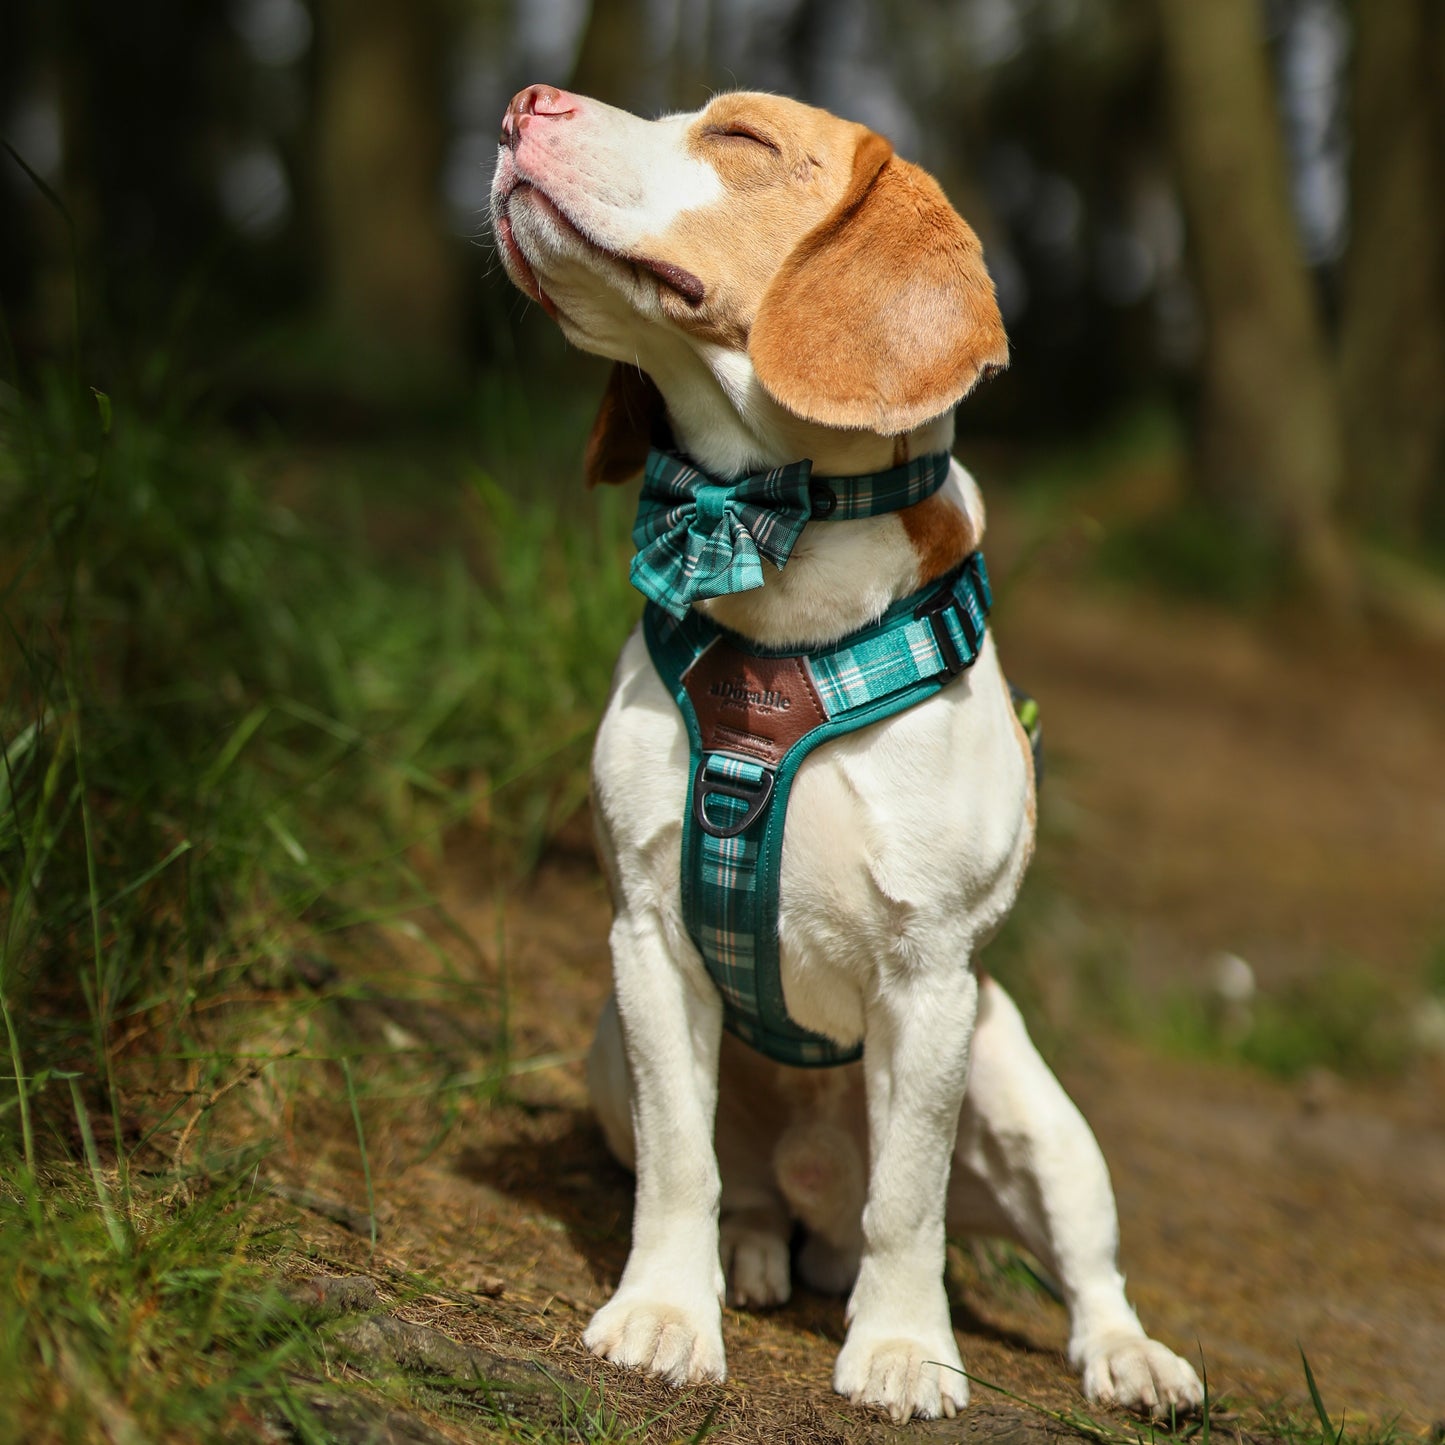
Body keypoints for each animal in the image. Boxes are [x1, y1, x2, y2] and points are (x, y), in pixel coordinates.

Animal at [491, 87, 1202, 1421]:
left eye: (739, 140)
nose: (522, 102)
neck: (784, 590)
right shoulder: (647, 939)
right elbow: (679, 1163)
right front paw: (666, 1313)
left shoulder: (927, 977)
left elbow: (907, 1201)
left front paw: (903, 1347)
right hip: (610, 1050)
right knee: (746, 1187)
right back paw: (754, 1250)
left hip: (1033, 1107)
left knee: (1080, 1267)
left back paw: (1128, 1355)